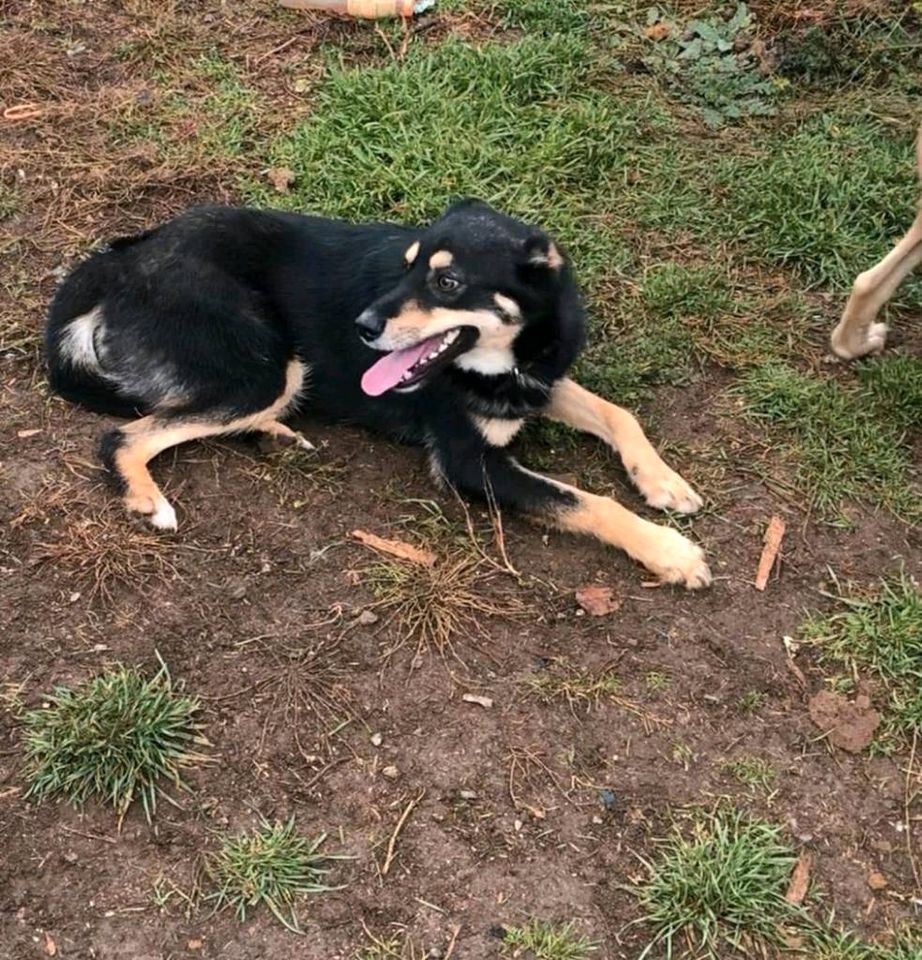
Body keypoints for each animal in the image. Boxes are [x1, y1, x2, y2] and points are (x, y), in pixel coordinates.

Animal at [45, 199, 712, 588]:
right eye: (407, 264)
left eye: (447, 282)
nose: (362, 325)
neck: (507, 355)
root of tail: (122, 259)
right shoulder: (470, 464)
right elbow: (588, 501)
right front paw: (671, 553)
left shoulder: (534, 382)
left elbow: (618, 414)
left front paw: (663, 481)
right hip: (268, 367)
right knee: (124, 436)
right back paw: (146, 497)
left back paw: (278, 436)